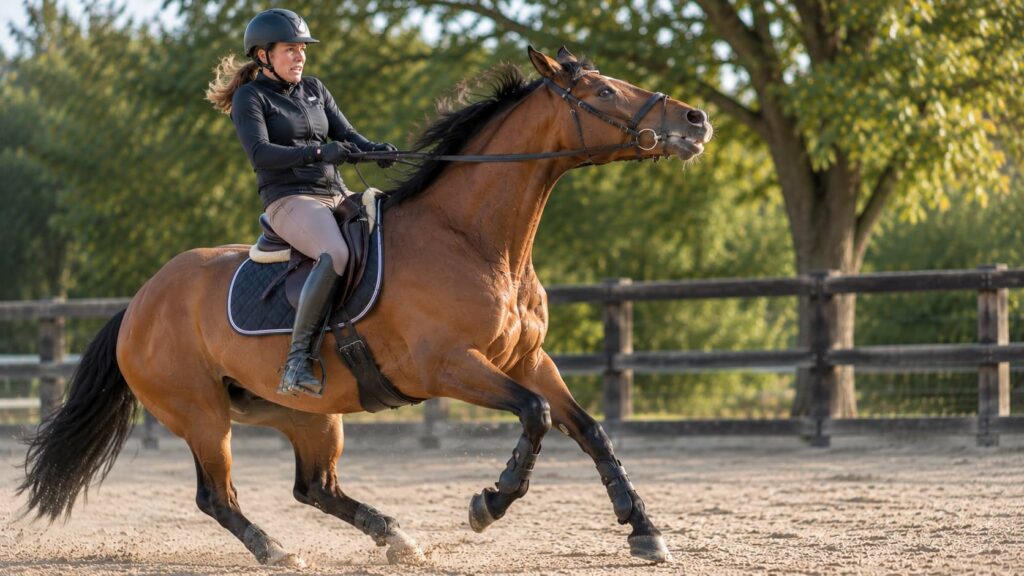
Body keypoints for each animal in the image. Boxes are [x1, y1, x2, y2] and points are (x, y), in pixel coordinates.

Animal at [18, 46, 712, 567]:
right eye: (603, 91)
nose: (696, 120)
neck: (474, 240)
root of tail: (139, 302)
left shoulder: (527, 359)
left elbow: (588, 428)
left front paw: (644, 530)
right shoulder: (449, 366)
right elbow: (536, 416)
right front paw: (488, 504)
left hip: (310, 417)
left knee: (314, 488)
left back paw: (397, 538)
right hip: (201, 416)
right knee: (217, 497)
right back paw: (278, 551)